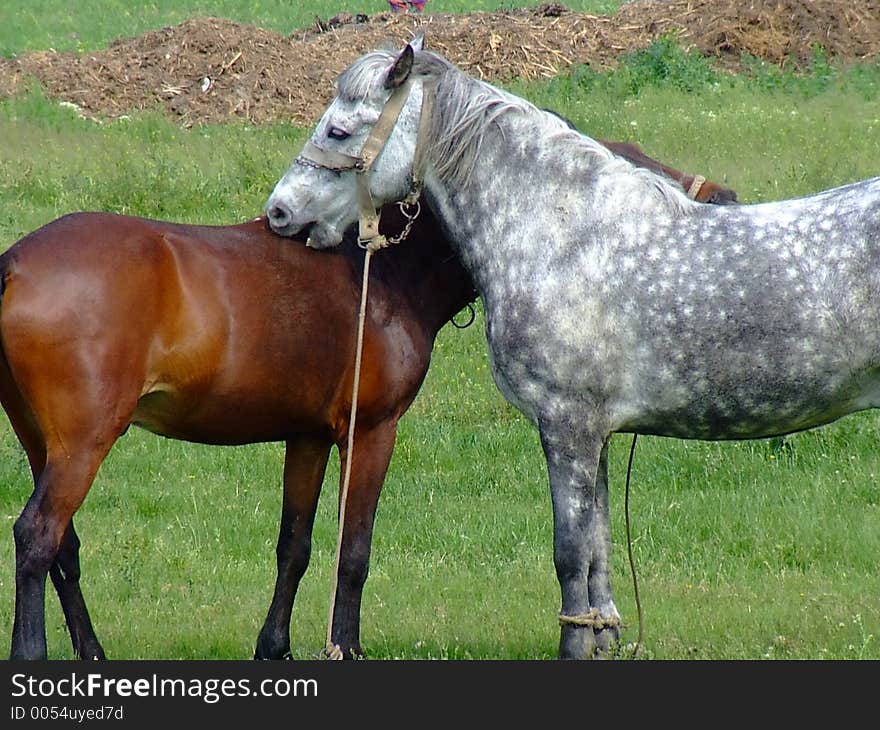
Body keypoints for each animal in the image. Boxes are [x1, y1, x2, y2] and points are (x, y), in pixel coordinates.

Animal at [3, 144, 736, 660]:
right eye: (638, 175)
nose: (725, 197)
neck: (379, 271)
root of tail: (13, 263)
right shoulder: (372, 431)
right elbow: (353, 550)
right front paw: (347, 647)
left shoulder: (305, 436)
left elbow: (295, 547)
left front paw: (275, 649)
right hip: (85, 442)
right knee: (37, 536)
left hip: (43, 441)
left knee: (63, 547)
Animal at [264, 39, 880, 660]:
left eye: (339, 130)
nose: (279, 212)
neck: (561, 234)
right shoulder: (597, 435)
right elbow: (600, 551)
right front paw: (600, 637)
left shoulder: (567, 426)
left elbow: (570, 553)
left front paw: (573, 645)